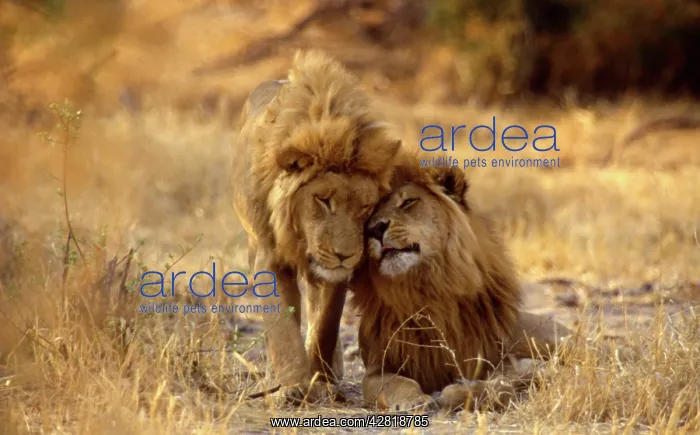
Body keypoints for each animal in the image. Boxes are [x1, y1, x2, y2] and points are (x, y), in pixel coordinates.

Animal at [231, 50, 401, 406]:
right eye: (323, 200)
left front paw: (322, 379)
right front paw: (294, 385)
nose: (344, 254)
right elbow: (281, 323)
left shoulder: (338, 273)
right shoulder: (269, 255)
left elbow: (326, 324)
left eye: (365, 208)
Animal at [349, 158, 590, 413]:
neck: (424, 284)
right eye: (370, 214)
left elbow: (500, 386)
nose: (375, 229)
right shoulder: (377, 368)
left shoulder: (491, 360)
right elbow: (396, 383)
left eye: (408, 202)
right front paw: (413, 400)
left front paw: (462, 393)